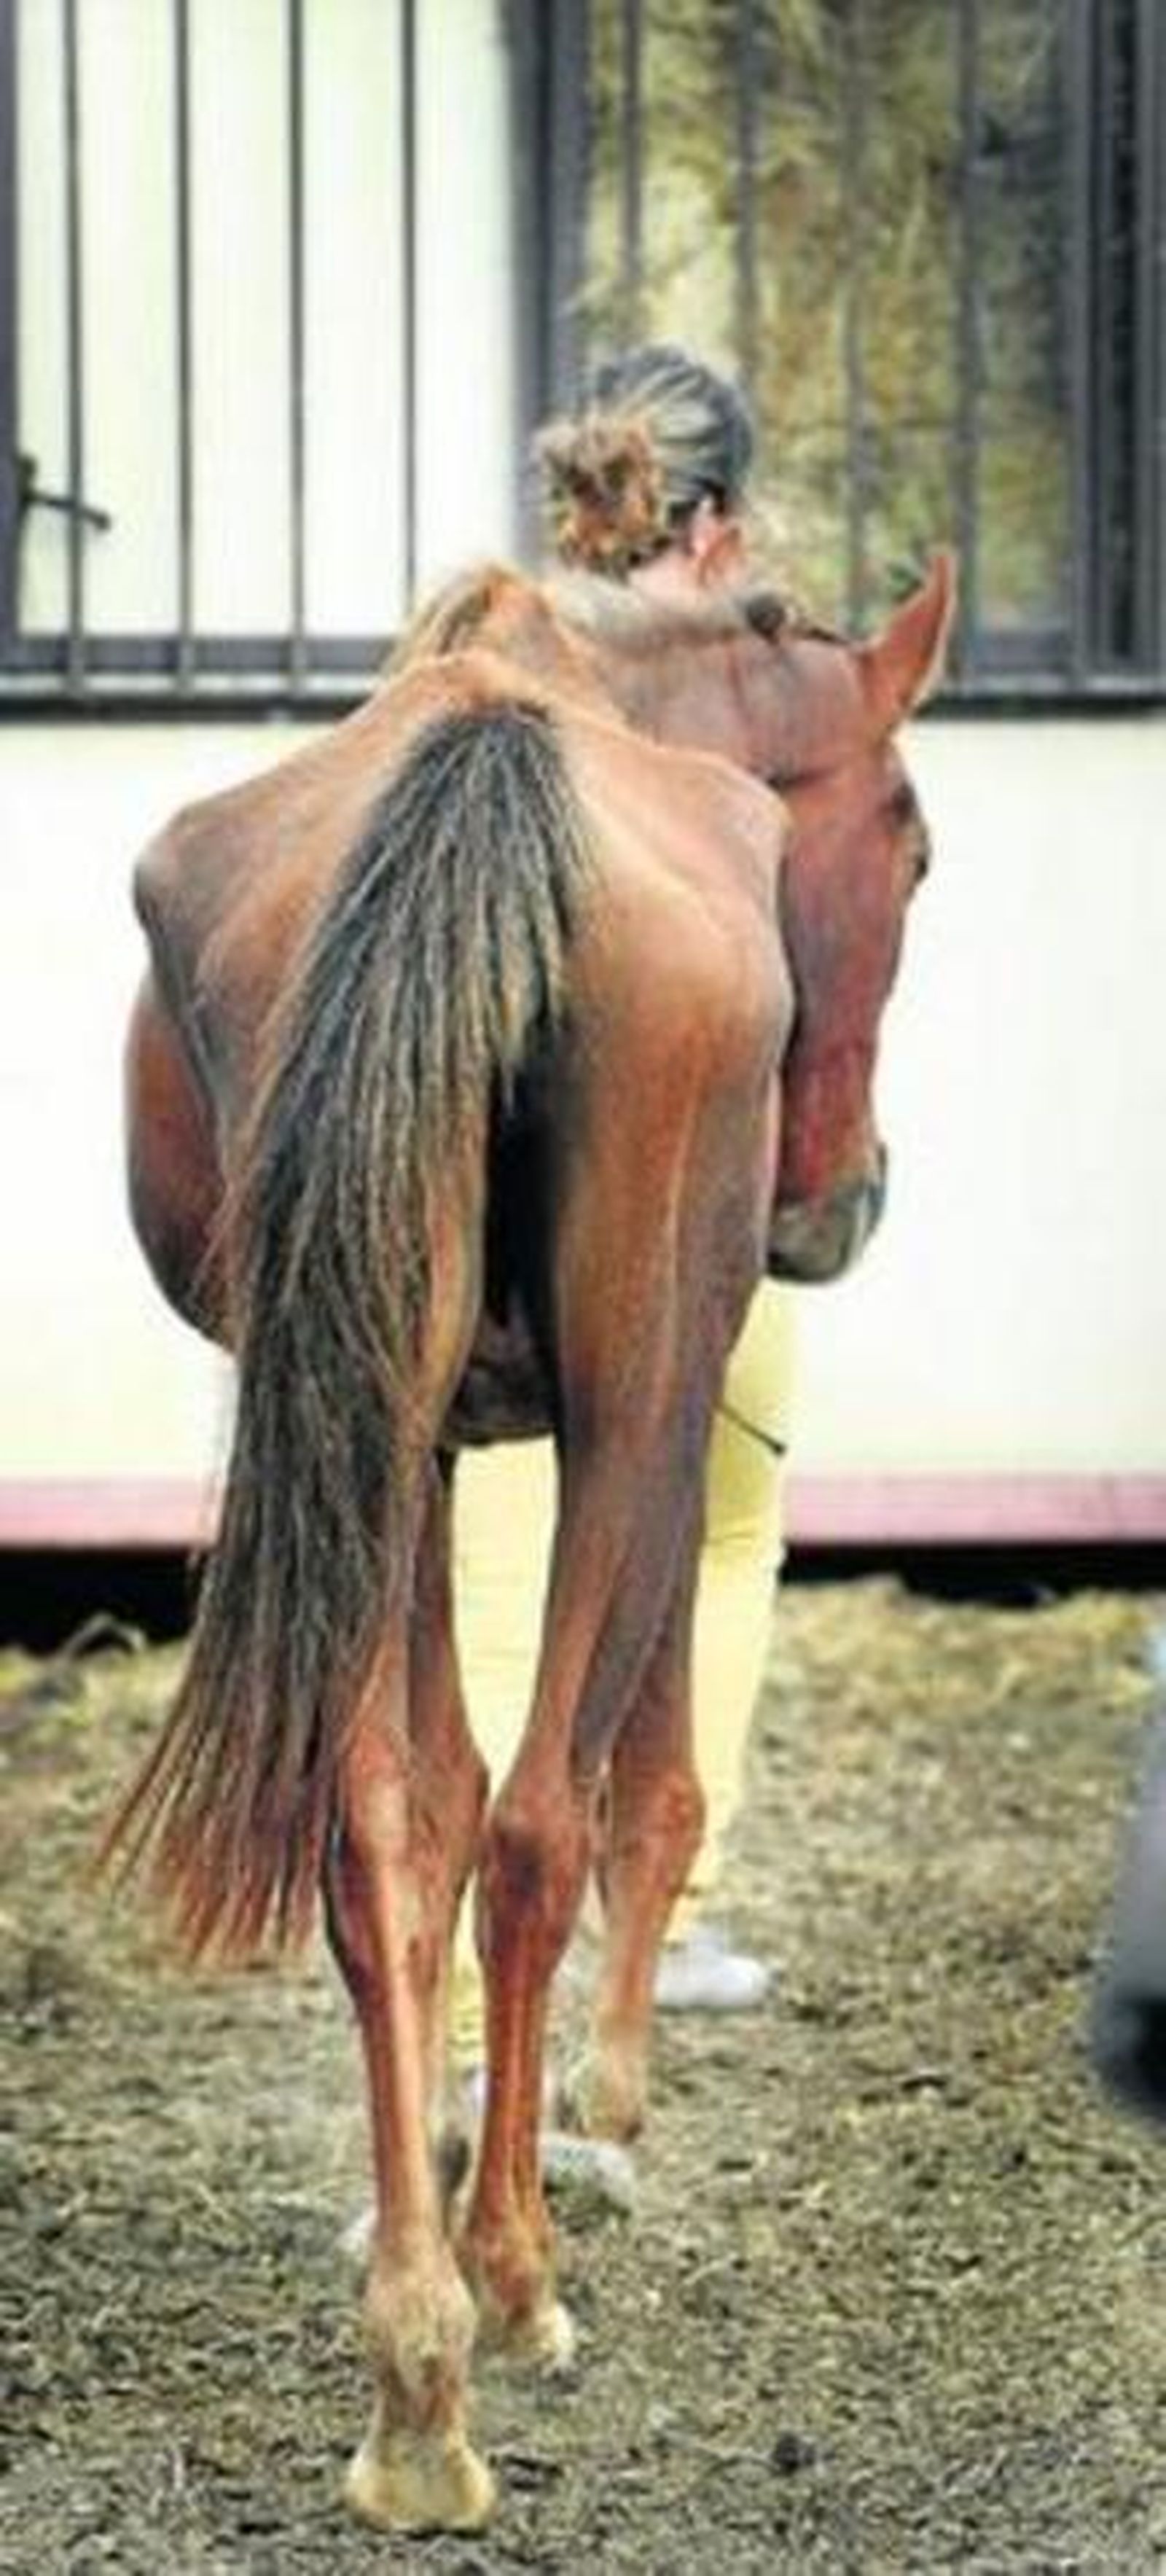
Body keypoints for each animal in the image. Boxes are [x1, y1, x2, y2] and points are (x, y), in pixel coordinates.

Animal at [108, 552, 953, 2533]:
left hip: (359, 1399)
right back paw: (502, 2285)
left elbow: (414, 1807)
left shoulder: (406, 1444)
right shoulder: (670, 1408)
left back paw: (413, 2374)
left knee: (387, 1835)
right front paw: (603, 2105)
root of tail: (488, 763)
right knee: (542, 1820)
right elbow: (642, 1775)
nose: (845, 1201)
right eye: (910, 843)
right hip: (638, 1391)